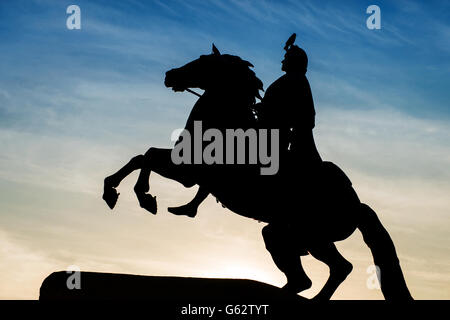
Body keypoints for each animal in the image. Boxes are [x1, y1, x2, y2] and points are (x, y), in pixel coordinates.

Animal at [103, 44, 414, 300]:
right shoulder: (186, 169)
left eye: (203, 62)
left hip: (313, 238)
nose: (170, 75)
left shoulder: (188, 172)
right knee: (303, 277)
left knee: (340, 268)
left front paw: (141, 196)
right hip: (284, 234)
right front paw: (116, 191)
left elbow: (147, 157)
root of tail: (357, 205)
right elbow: (143, 156)